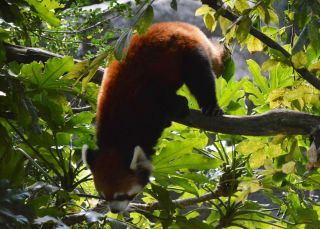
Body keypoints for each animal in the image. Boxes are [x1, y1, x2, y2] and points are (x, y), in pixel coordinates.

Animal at [83, 21, 228, 213]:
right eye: (103, 196)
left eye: (122, 196)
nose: (114, 210)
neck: (118, 135)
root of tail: (179, 25)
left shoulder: (147, 99)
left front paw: (176, 108)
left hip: (188, 53)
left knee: (201, 79)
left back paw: (210, 106)